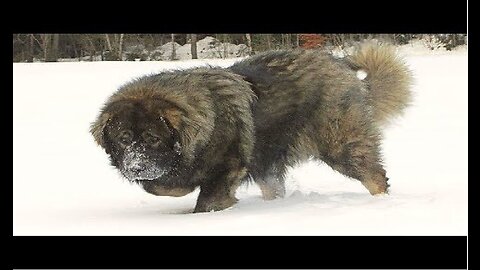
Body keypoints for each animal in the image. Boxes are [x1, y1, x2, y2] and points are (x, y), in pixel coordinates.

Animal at [91, 41, 412, 212]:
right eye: (123, 138)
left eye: (153, 139)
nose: (136, 167)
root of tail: (343, 69)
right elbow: (160, 186)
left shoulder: (228, 165)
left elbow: (206, 199)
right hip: (270, 162)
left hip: (341, 146)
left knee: (375, 176)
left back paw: (381, 203)